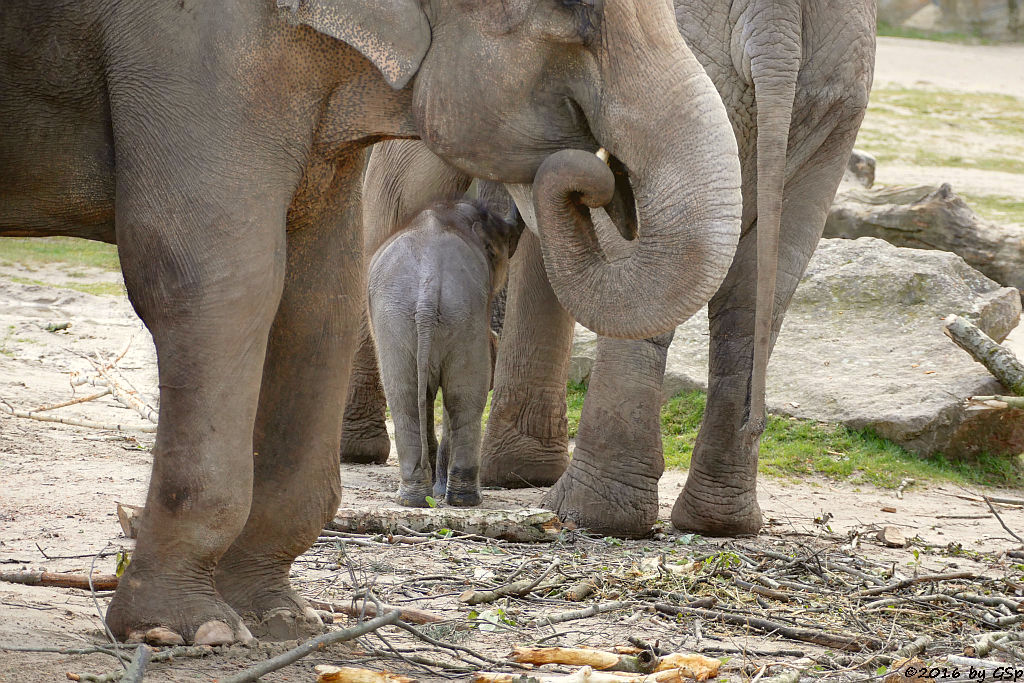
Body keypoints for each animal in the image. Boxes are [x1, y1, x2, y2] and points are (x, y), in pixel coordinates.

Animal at [368, 197, 524, 507]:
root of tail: (427, 290)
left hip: (403, 320)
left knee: (409, 398)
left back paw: (419, 498)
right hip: (459, 317)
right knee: (460, 399)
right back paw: (457, 498)